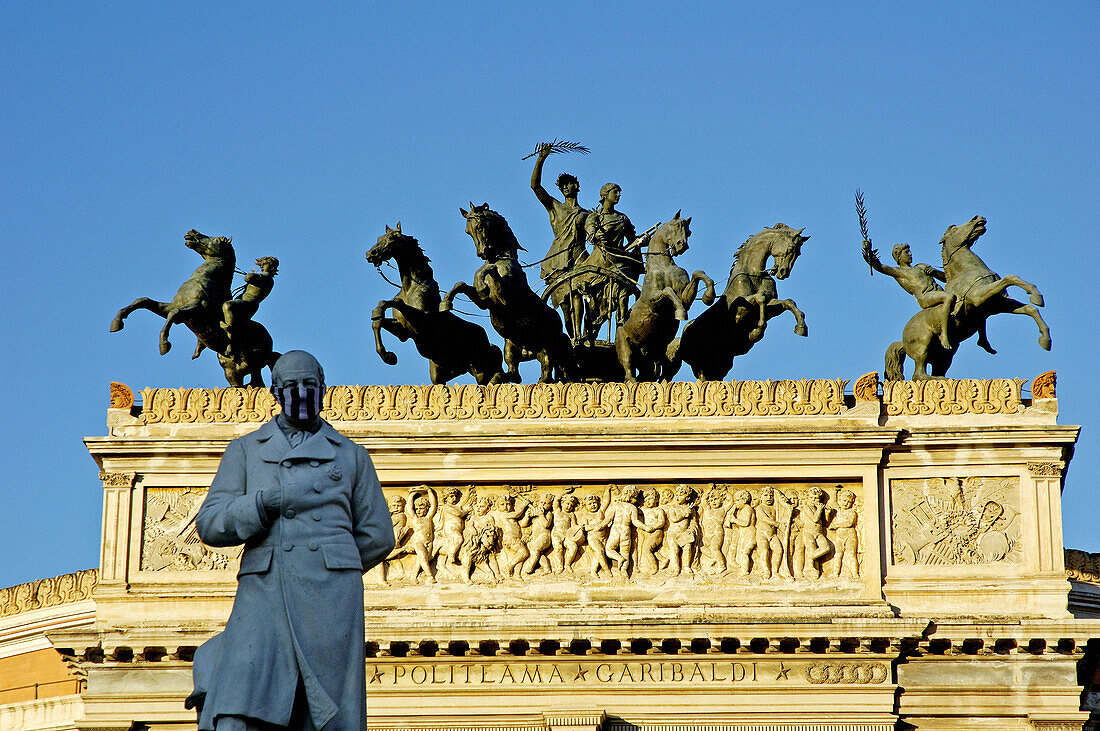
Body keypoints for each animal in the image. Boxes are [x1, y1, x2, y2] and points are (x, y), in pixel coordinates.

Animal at [616, 209, 717, 382]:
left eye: (689, 232)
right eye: (675, 225)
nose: (682, 245)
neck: (663, 266)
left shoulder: (685, 296)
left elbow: (697, 274)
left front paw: (708, 296)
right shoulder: (651, 300)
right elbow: (668, 291)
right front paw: (680, 313)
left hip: (651, 353)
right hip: (625, 347)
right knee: (629, 371)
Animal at [668, 222, 809, 382]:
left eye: (798, 253)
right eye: (791, 248)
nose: (783, 273)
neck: (754, 275)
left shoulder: (771, 307)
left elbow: (788, 302)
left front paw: (801, 327)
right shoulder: (741, 309)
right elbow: (760, 298)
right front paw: (757, 331)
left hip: (720, 364)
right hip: (700, 363)